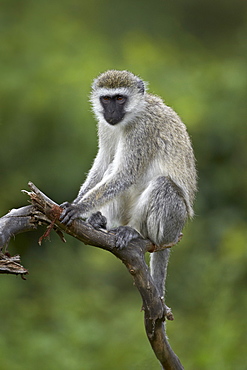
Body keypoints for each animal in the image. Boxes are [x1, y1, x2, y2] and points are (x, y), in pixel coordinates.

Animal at [59, 68, 197, 312]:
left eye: (120, 99)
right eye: (106, 99)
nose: (112, 112)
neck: (132, 115)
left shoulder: (142, 130)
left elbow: (126, 173)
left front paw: (78, 208)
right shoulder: (104, 126)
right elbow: (104, 162)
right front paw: (76, 203)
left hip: (172, 223)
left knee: (162, 185)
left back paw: (136, 232)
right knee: (112, 166)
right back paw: (101, 221)